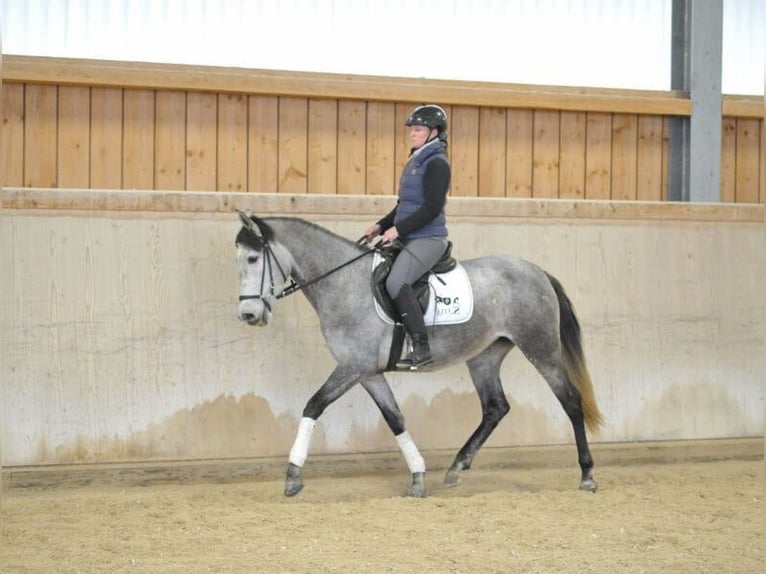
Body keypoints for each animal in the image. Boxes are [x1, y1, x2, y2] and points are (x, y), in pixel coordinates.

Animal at [236, 212, 608, 500]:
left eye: (253, 259)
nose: (248, 315)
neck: (343, 283)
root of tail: (537, 272)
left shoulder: (353, 367)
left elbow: (314, 405)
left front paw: (292, 476)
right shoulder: (368, 373)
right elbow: (395, 419)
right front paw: (417, 477)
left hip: (541, 348)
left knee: (570, 401)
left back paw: (587, 475)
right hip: (484, 356)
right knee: (495, 408)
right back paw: (457, 468)